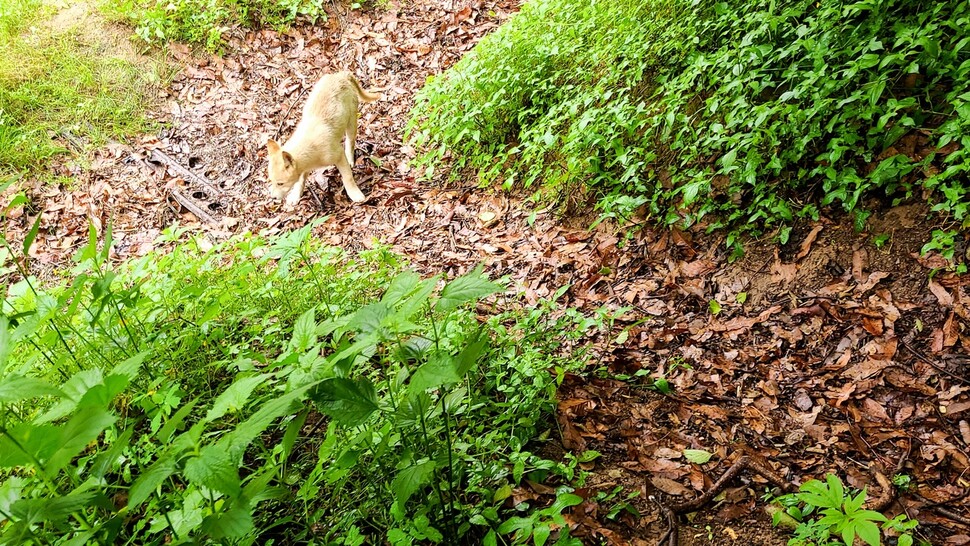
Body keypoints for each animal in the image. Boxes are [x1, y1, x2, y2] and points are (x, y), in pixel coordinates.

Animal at [268, 72, 382, 206]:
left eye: (280, 183)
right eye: (271, 181)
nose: (273, 198)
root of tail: (341, 74)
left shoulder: (338, 155)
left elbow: (347, 177)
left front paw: (354, 193)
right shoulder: (305, 166)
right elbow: (300, 180)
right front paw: (295, 195)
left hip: (352, 121)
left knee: (350, 141)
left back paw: (350, 159)